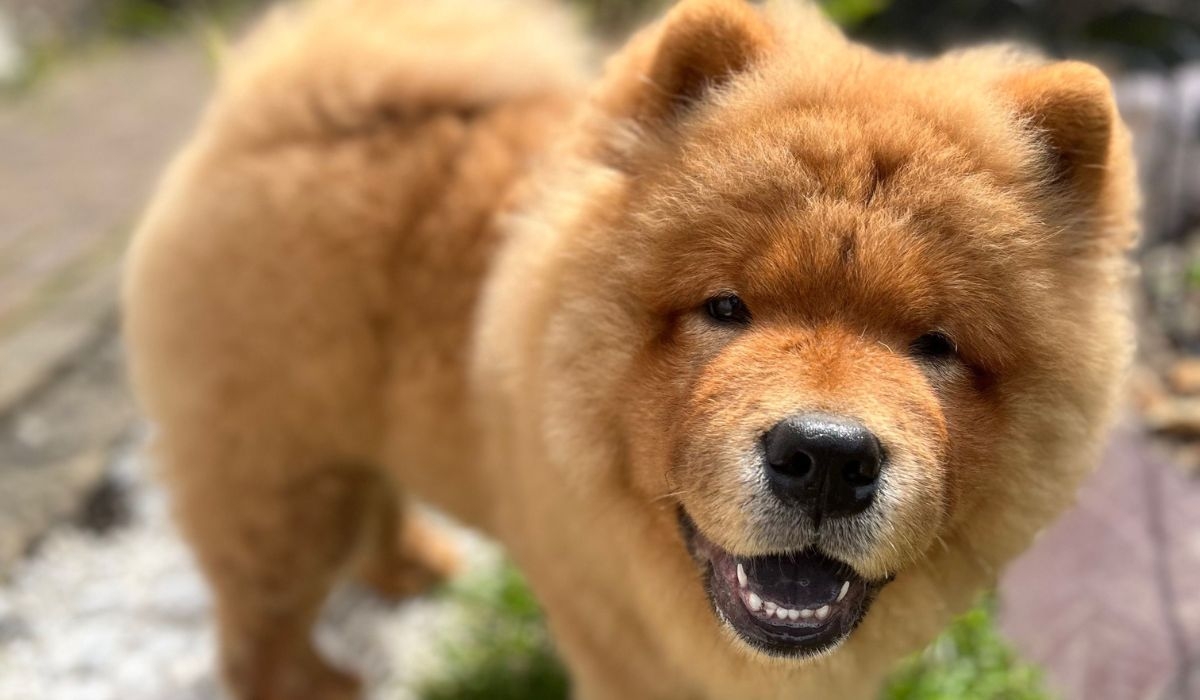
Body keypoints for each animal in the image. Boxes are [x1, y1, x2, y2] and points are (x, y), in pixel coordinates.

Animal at [124, 0, 1142, 696]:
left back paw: (414, 564)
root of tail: (266, 112)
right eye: (726, 308)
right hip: (276, 483)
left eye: (935, 344)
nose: (825, 457)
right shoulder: (625, 657)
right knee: (258, 634)